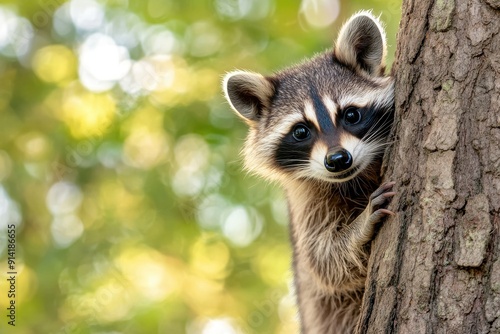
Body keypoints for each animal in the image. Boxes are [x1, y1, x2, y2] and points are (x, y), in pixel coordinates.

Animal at [223, 11, 394, 332]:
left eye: (351, 115)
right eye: (301, 131)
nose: (338, 160)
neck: (353, 177)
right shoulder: (306, 199)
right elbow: (323, 260)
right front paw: (360, 228)